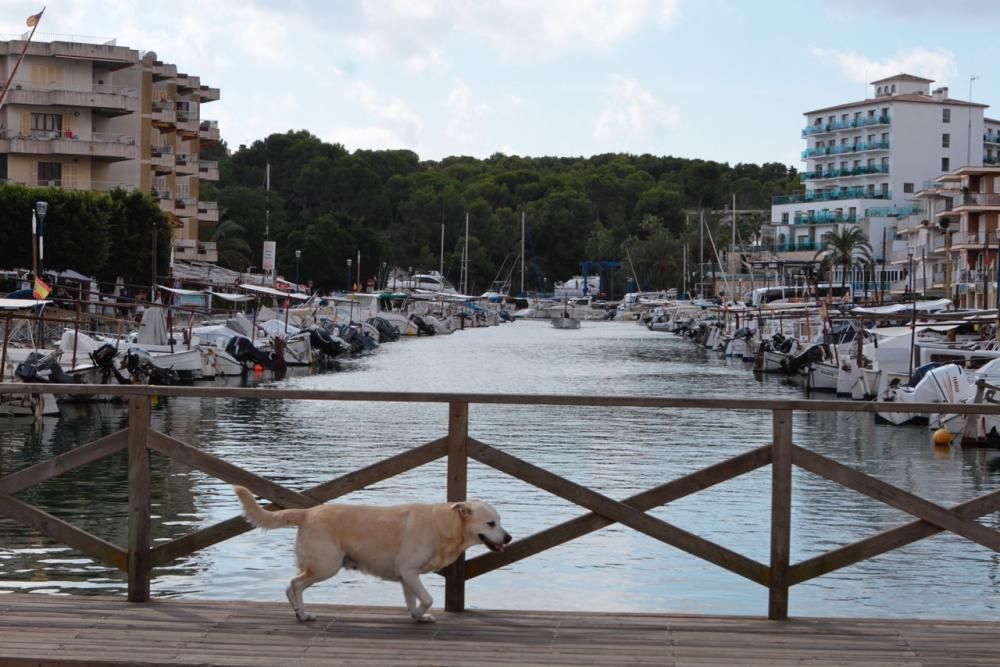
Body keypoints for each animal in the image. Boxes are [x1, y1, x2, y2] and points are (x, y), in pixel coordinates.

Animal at [233, 488, 512, 624]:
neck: (446, 523)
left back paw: (297, 612)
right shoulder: (409, 571)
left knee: (290, 587)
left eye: (500, 521)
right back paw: (303, 614)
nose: (509, 538)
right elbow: (428, 598)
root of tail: (308, 512)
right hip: (326, 565)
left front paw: (418, 617)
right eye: (490, 524)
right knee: (295, 584)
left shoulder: (407, 576)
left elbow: (413, 601)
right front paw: (422, 612)